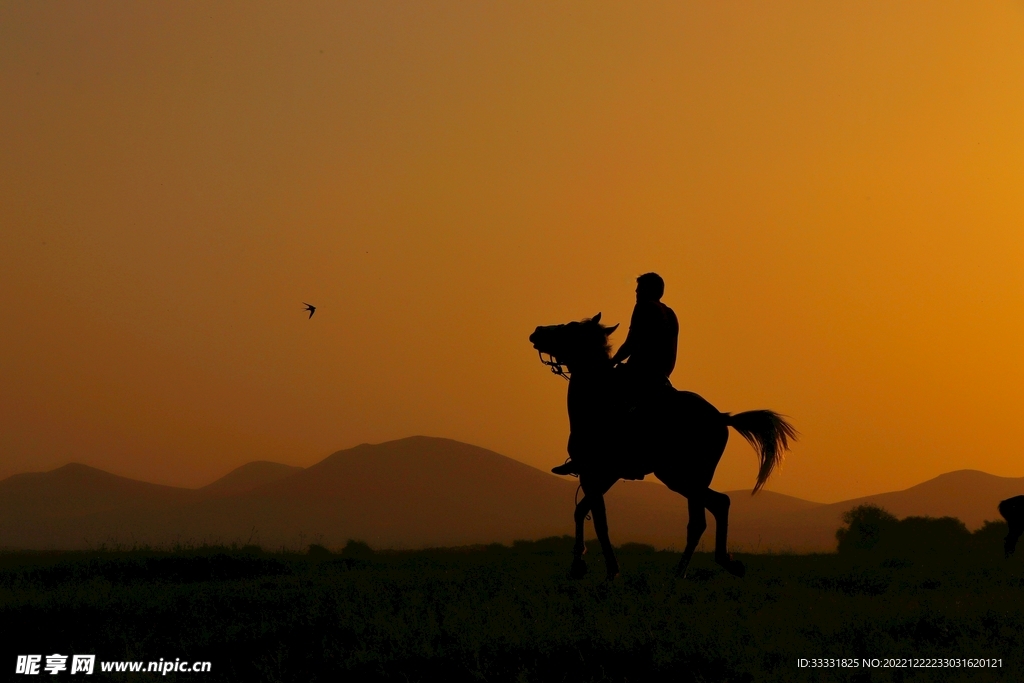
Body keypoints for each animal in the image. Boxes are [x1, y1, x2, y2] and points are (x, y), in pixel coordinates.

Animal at [529, 313, 796, 580]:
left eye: (571, 328)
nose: (537, 331)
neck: (596, 402)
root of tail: (721, 417)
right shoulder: (601, 475)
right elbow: (585, 512)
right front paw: (586, 565)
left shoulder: (596, 472)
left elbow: (597, 519)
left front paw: (601, 569)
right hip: (687, 478)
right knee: (716, 506)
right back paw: (718, 564)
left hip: (680, 476)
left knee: (704, 516)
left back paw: (682, 573)